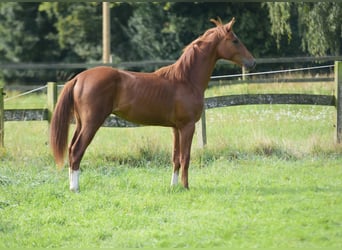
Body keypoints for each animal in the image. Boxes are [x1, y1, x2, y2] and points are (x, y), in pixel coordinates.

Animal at [49, 17, 255, 191]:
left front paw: (174, 187)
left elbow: (175, 158)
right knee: (77, 151)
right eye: (235, 40)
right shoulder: (188, 127)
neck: (185, 80)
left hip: (81, 123)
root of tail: (79, 78)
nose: (252, 62)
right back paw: (75, 188)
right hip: (92, 123)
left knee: (71, 149)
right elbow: (186, 157)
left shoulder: (176, 128)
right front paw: (186, 187)